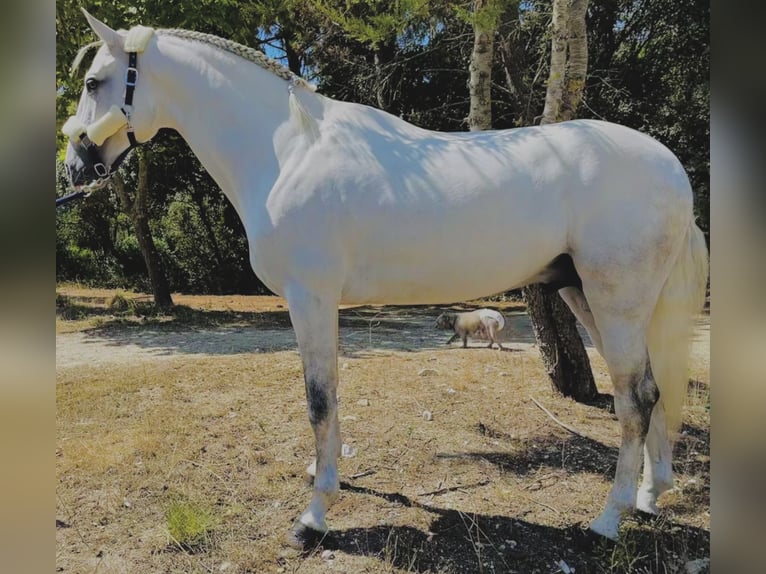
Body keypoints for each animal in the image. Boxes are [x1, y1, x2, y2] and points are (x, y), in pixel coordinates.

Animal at [63, 9, 712, 548]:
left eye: (95, 82)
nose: (75, 166)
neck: (288, 150)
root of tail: (669, 167)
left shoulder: (311, 298)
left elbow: (319, 399)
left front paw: (313, 516)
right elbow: (330, 397)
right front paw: (326, 477)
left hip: (615, 300)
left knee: (635, 399)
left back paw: (608, 520)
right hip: (588, 298)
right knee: (652, 391)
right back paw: (649, 499)